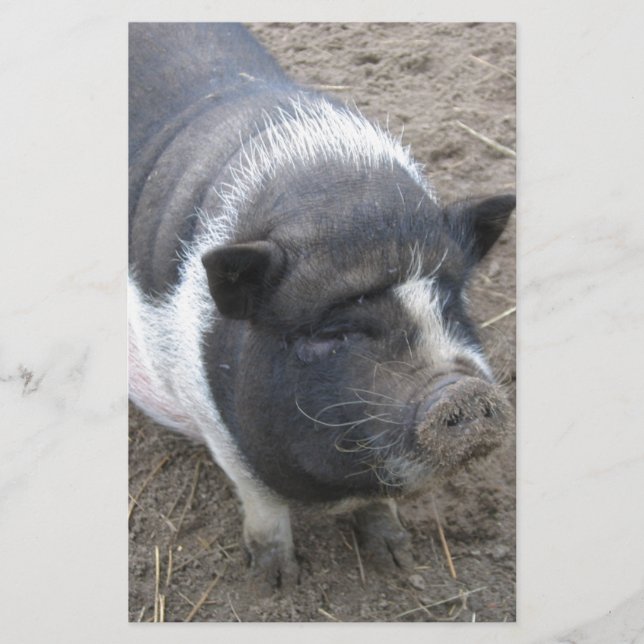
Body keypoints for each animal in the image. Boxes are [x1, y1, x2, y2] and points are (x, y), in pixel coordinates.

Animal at [128, 23, 515, 589]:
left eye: (450, 302)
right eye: (331, 332)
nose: (462, 390)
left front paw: (398, 560)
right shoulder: (216, 423)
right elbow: (262, 502)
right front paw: (276, 585)